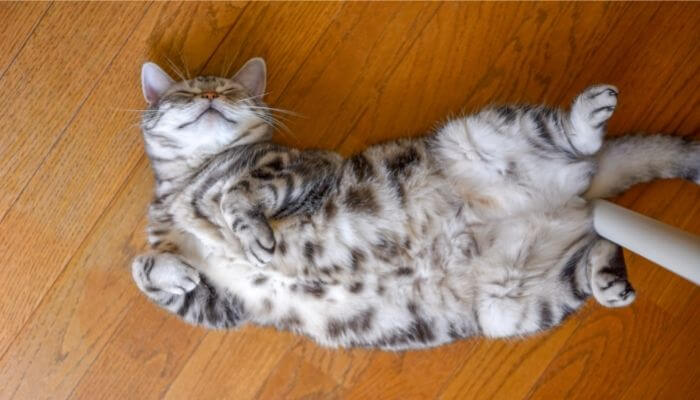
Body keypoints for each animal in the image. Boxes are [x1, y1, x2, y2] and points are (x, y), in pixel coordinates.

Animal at [130, 57, 696, 348]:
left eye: (230, 90)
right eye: (184, 94)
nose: (210, 97)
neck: (187, 181)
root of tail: (575, 197)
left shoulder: (303, 167)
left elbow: (241, 191)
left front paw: (248, 228)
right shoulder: (229, 304)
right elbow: (146, 269)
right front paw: (174, 272)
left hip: (478, 133)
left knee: (576, 141)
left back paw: (589, 114)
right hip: (512, 306)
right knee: (596, 250)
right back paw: (609, 280)